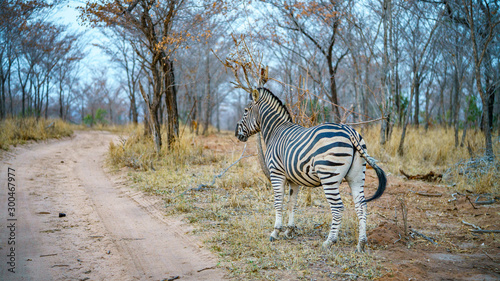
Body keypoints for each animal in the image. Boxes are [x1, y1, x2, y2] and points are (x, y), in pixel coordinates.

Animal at [234, 86, 386, 250]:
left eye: (245, 110)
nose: (236, 133)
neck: (275, 131)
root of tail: (350, 132)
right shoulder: (293, 179)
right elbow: (291, 204)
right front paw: (289, 230)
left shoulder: (276, 173)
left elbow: (278, 202)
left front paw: (275, 232)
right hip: (357, 176)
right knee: (361, 206)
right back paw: (361, 243)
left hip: (329, 177)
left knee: (338, 207)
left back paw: (330, 240)